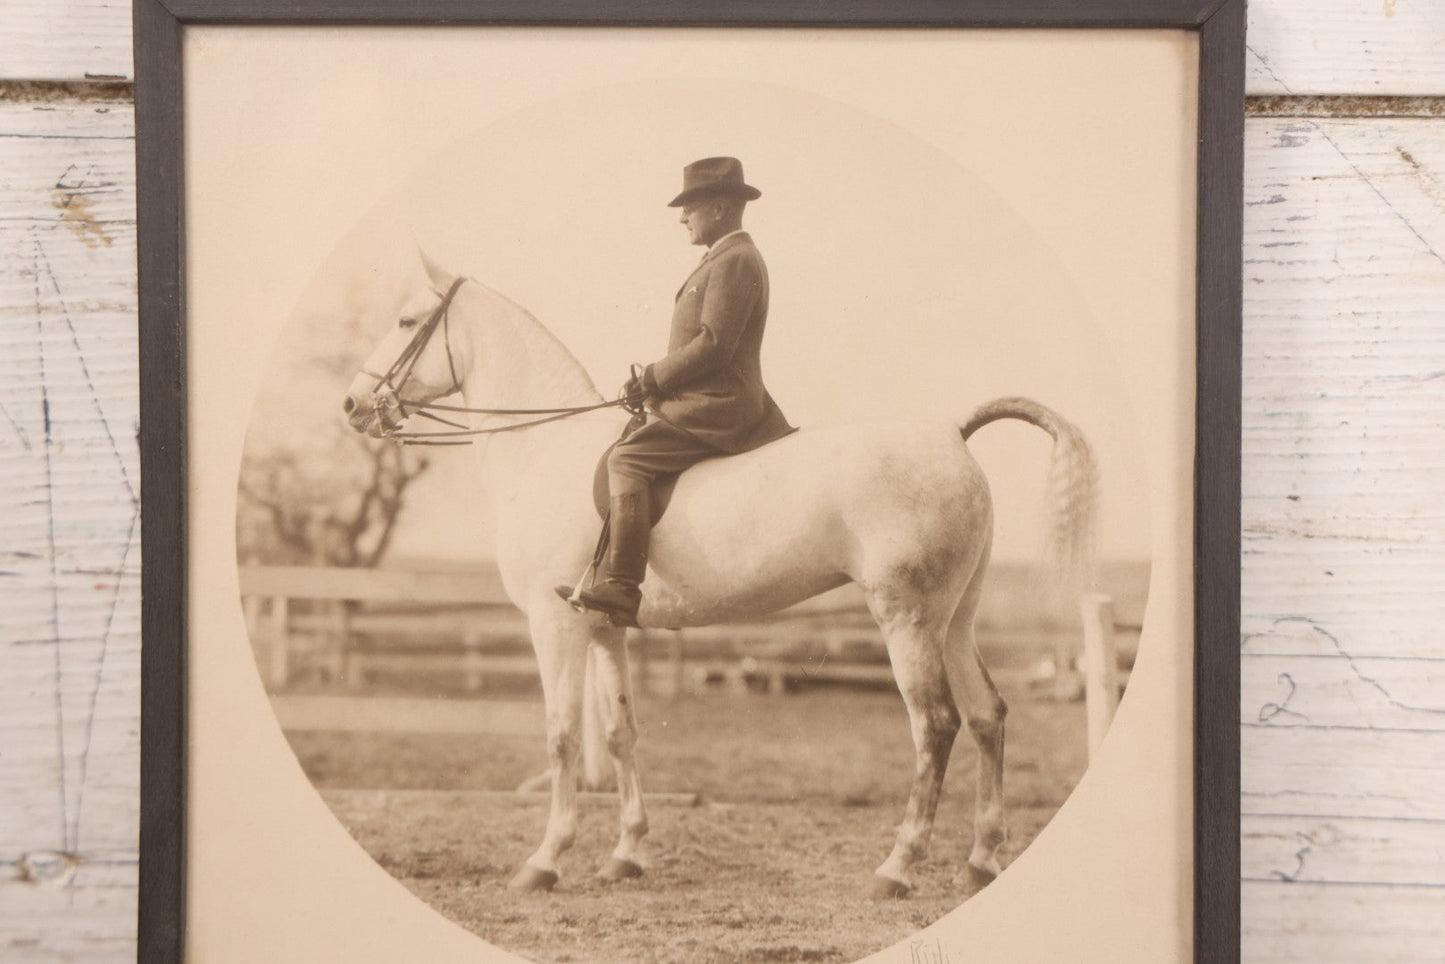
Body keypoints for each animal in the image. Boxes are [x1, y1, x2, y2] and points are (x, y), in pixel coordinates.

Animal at [340, 252, 1097, 900]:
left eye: (406, 321)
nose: (350, 406)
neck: (544, 449)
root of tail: (951, 433)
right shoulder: (603, 627)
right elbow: (619, 733)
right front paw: (627, 854)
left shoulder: (553, 625)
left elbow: (560, 736)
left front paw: (544, 861)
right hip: (954, 619)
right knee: (987, 715)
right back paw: (980, 860)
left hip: (906, 618)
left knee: (935, 724)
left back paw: (897, 867)